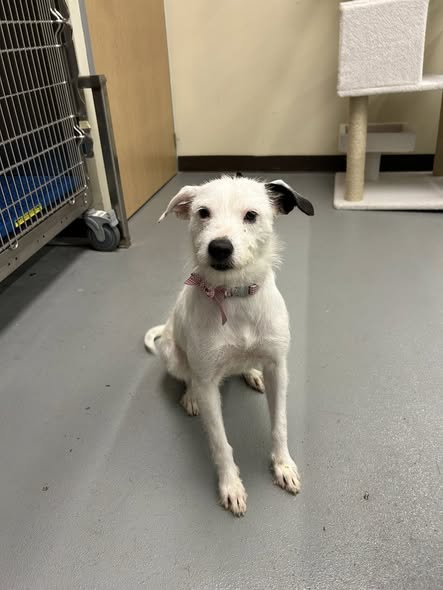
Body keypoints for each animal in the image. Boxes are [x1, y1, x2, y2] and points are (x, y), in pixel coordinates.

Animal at [145, 174, 314, 515]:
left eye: (251, 215)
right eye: (202, 213)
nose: (219, 247)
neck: (233, 296)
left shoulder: (278, 367)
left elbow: (279, 425)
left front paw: (283, 465)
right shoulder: (209, 383)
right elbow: (220, 443)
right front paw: (230, 485)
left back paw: (251, 373)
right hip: (172, 355)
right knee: (187, 377)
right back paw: (190, 396)